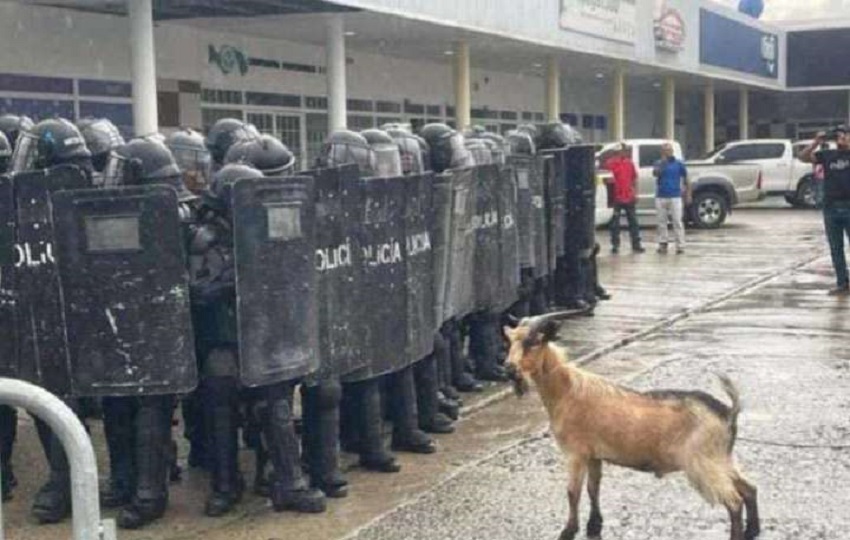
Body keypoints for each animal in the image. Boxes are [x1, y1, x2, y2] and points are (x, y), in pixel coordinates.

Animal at [500, 316, 760, 540]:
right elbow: (593, 489)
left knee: (734, 501)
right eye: (510, 341)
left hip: (702, 463)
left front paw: (567, 533)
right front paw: (594, 526)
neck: (567, 390)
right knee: (749, 489)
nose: (509, 369)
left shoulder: (576, 453)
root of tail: (728, 411)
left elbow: (573, 493)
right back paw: (752, 531)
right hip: (721, 459)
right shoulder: (594, 455)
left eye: (532, 342)